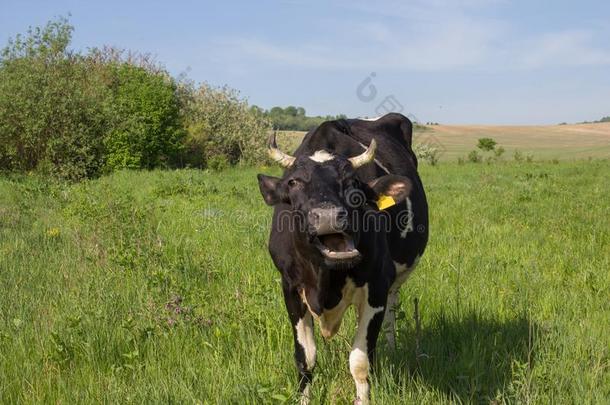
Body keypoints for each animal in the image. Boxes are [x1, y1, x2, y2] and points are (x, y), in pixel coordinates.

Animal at [256, 112, 428, 402]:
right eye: (293, 182)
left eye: (353, 182)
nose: (328, 216)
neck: (325, 279)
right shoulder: (290, 287)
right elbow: (305, 358)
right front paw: (304, 400)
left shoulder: (376, 287)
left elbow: (360, 362)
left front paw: (363, 399)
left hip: (394, 281)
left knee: (391, 313)